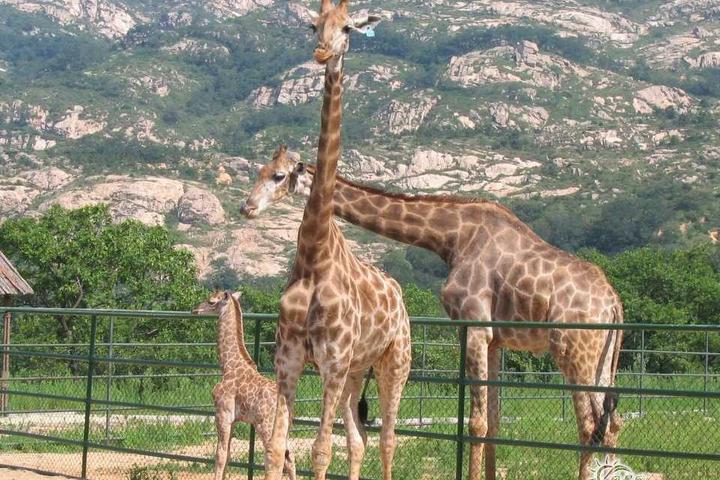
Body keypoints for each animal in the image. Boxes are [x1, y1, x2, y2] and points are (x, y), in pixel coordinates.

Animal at [193, 288, 296, 480]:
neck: (228, 365)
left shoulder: (223, 414)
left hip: (266, 426)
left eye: (211, 301)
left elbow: (220, 454)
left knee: (275, 457)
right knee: (289, 458)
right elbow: (228, 455)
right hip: (284, 429)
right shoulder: (234, 419)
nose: (195, 310)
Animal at [243, 151, 624, 480]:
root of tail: (614, 303)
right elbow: (493, 421)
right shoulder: (494, 339)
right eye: (259, 171)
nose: (247, 207)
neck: (451, 237)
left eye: (278, 176)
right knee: (612, 423)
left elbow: (476, 423)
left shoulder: (474, 326)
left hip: (572, 352)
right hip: (601, 358)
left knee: (589, 425)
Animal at [264, 3, 410, 480]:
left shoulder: (330, 362)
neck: (315, 262)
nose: (323, 52)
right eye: (314, 23)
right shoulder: (289, 358)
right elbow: (278, 447)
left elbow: (319, 450)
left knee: (387, 438)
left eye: (348, 27)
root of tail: (400, 297)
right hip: (355, 372)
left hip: (393, 362)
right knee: (359, 440)